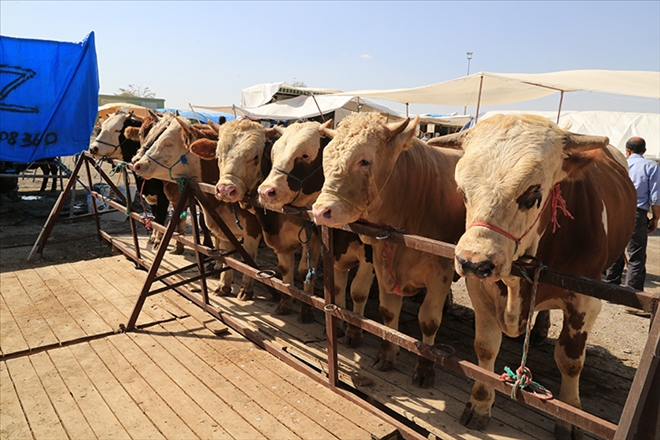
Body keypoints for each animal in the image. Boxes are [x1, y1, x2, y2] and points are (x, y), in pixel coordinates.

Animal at [132, 114, 262, 300]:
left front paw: (246, 289)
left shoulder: (253, 227)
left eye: (168, 142)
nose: (137, 163)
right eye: (142, 133)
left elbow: (248, 259)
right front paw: (223, 282)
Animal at [187, 119, 324, 324]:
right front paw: (224, 284)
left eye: (256, 157)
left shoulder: (309, 237)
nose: (226, 189)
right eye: (218, 154)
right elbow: (229, 255)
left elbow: (303, 270)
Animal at [256, 121, 376, 348]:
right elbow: (328, 284)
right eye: (274, 153)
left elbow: (357, 291)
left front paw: (354, 332)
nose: (266, 191)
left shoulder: (370, 256)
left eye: (304, 155)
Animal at [310, 111, 464, 386]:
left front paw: (425, 368)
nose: (320, 211)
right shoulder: (383, 263)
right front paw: (387, 354)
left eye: (365, 160)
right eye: (325, 158)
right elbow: (388, 313)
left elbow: (429, 320)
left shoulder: (441, 270)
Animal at [436, 114, 636, 440]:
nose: (473, 261)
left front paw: (569, 418)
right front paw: (480, 403)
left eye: (533, 194)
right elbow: (486, 346)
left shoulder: (585, 301)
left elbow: (570, 361)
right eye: (462, 192)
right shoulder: (479, 288)